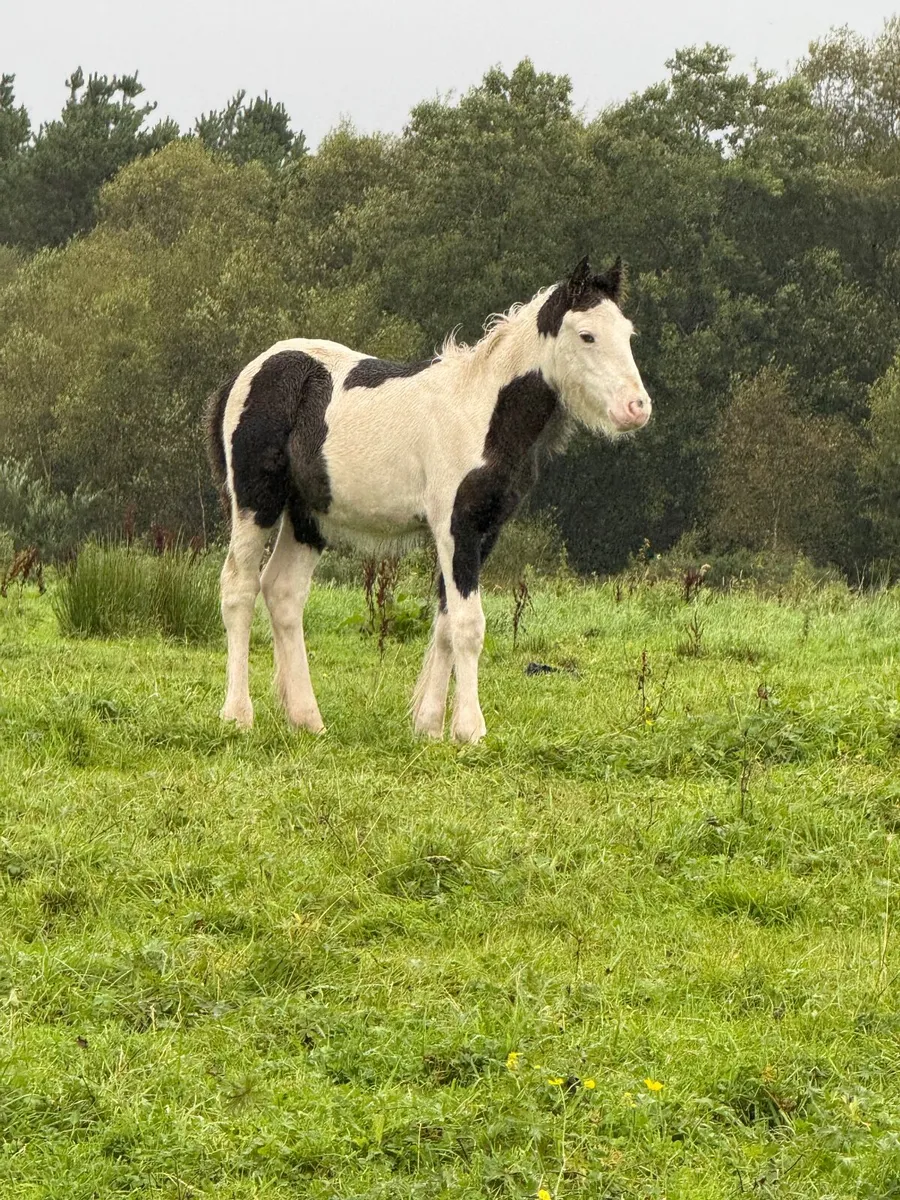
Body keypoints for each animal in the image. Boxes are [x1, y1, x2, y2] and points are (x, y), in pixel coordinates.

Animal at [206, 256, 652, 743]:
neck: (480, 413)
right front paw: (471, 730)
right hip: (255, 502)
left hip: (309, 517)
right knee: (239, 587)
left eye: (628, 334)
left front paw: (430, 726)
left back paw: (307, 720)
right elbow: (468, 625)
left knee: (284, 593)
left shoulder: (484, 531)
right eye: (587, 335)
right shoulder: (456, 525)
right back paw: (237, 715)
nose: (637, 408)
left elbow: (444, 622)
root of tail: (243, 375)